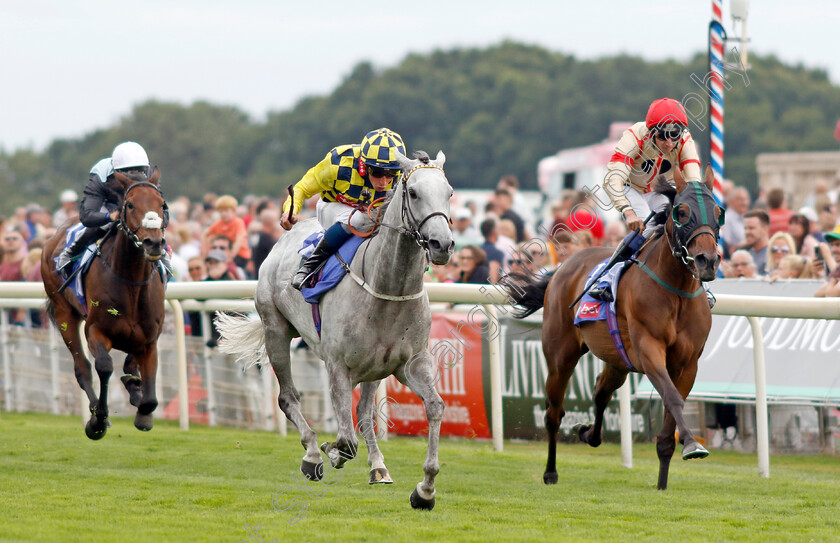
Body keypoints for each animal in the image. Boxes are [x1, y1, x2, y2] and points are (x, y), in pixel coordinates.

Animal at [41, 170, 169, 442]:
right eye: (129, 205)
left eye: (161, 204)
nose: (153, 243)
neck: (130, 283)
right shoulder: (95, 330)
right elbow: (103, 366)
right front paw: (98, 420)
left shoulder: (150, 339)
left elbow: (150, 396)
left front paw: (143, 412)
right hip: (64, 312)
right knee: (82, 368)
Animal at [217, 152, 452, 510]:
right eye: (413, 193)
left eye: (449, 192)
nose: (443, 244)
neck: (386, 288)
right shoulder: (338, 365)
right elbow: (345, 440)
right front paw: (330, 452)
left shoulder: (410, 363)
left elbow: (434, 407)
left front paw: (425, 490)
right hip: (275, 330)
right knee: (288, 397)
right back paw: (313, 454)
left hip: (374, 368)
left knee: (364, 412)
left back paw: (378, 466)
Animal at [508, 167, 724, 492]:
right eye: (682, 212)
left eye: (719, 212)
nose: (707, 261)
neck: (675, 290)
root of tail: (561, 268)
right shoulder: (649, 351)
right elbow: (672, 398)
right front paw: (692, 445)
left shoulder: (688, 363)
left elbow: (670, 418)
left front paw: (663, 482)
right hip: (560, 356)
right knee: (553, 414)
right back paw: (550, 472)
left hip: (617, 360)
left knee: (600, 391)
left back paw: (588, 433)